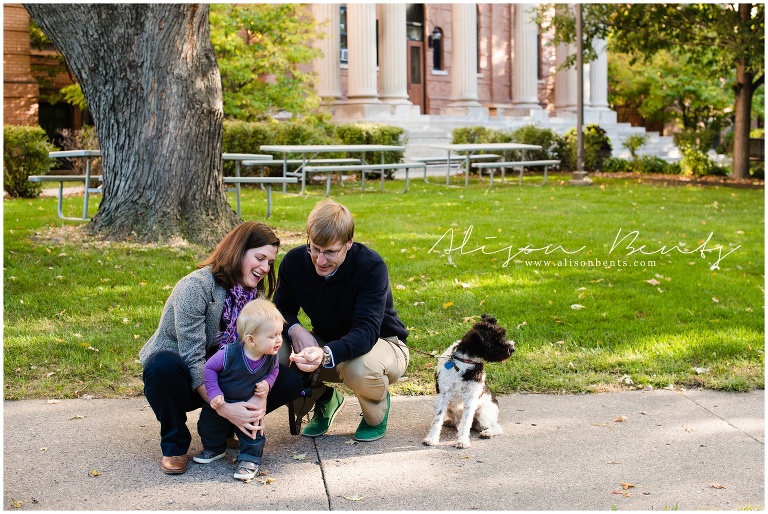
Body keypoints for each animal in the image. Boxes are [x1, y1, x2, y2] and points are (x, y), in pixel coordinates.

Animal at [420, 314, 516, 446]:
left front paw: (462, 441)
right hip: (450, 409)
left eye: (503, 335)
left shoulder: (471, 397)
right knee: (457, 422)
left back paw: (487, 433)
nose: (512, 349)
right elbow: (437, 419)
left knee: (496, 427)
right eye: (494, 339)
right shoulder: (443, 395)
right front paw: (432, 438)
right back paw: (450, 422)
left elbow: (466, 422)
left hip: (483, 414)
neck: (464, 361)